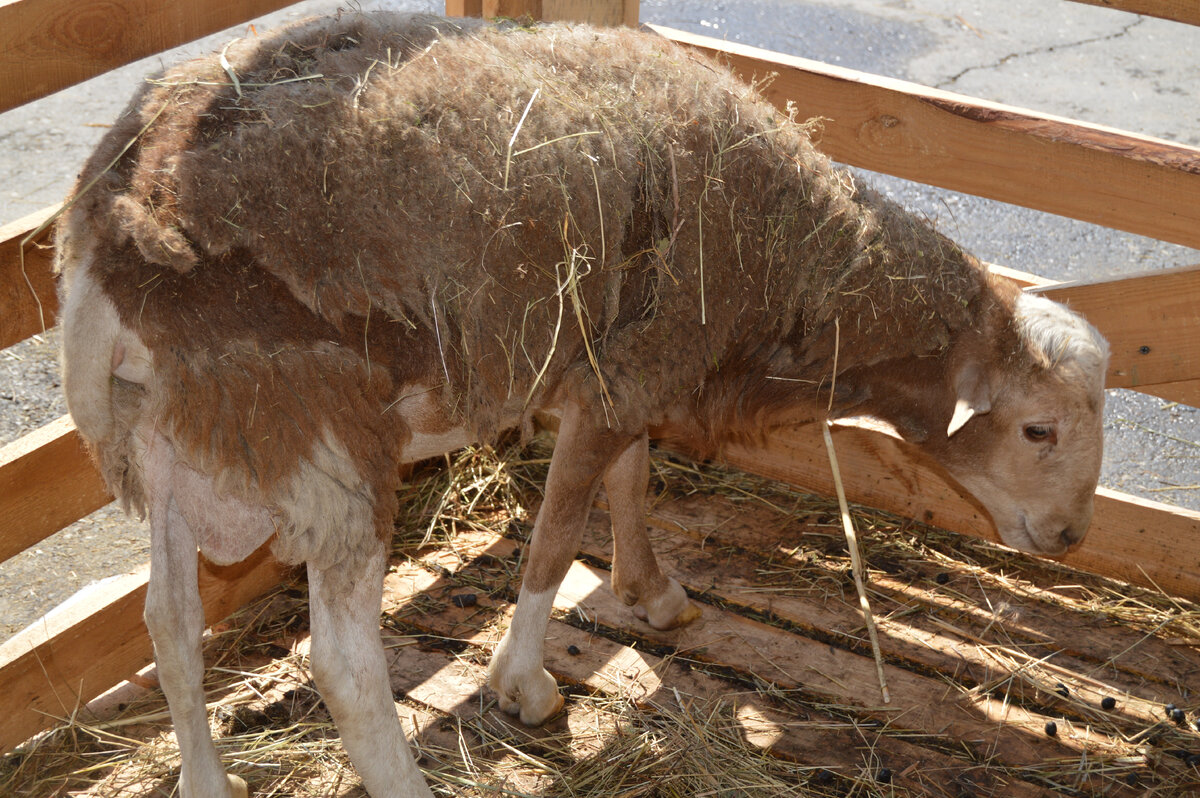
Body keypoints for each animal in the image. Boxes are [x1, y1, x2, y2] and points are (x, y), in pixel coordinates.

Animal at [54, 9, 1104, 792]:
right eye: (1038, 428)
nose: (1069, 538)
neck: (804, 265)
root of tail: (118, 220)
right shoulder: (621, 378)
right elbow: (556, 538)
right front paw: (522, 682)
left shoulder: (625, 367)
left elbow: (630, 482)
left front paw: (652, 592)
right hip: (323, 439)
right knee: (343, 670)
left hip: (165, 444)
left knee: (170, 627)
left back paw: (207, 780)